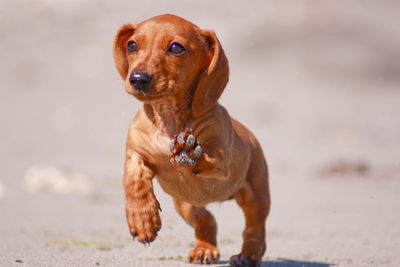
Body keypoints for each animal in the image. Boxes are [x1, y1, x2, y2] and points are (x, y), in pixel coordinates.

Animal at [114, 14, 270, 267]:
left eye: (176, 48)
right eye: (132, 45)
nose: (137, 78)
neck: (168, 120)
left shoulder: (220, 157)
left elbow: (208, 155)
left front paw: (187, 151)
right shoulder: (135, 154)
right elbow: (134, 181)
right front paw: (142, 220)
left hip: (256, 195)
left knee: (255, 230)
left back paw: (248, 255)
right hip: (186, 205)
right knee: (207, 221)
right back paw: (205, 249)